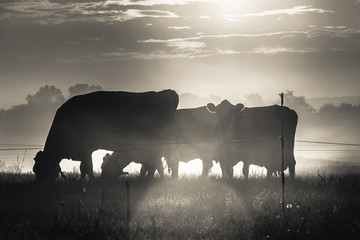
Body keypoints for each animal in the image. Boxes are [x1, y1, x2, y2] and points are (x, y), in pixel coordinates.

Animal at [33, 90, 179, 182]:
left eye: (39, 169)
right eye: (34, 170)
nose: (38, 185)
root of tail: (167, 92)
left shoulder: (85, 149)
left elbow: (88, 167)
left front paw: (90, 183)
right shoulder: (83, 152)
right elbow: (83, 168)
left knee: (157, 163)